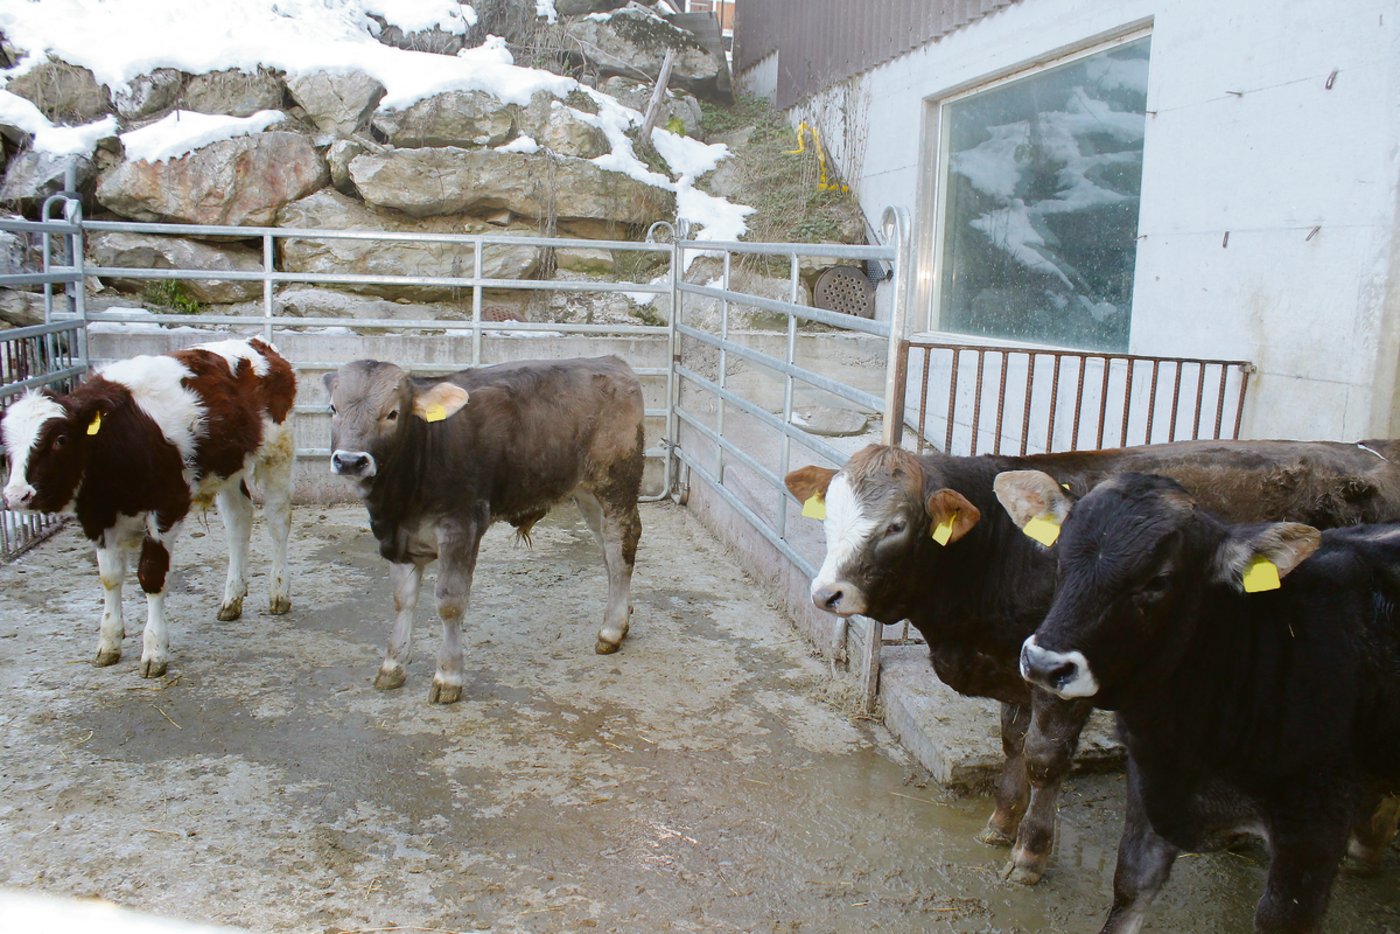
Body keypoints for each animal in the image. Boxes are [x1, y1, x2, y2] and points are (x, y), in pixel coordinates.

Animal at [0, 338, 296, 678]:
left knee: (277, 523)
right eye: (5, 445)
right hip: (228, 468)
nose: (17, 495)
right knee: (239, 522)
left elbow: (151, 576)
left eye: (60, 439)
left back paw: (279, 593)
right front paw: (109, 642)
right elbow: (110, 577)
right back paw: (232, 599)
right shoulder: (97, 517)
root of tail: (257, 344)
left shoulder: (166, 506)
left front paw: (154, 650)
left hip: (277, 454)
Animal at [324, 355, 644, 704]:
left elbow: (449, 602)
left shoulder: (461, 526)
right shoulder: (400, 540)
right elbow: (402, 599)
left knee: (621, 546)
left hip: (616, 483)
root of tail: (612, 362)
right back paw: (623, 614)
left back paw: (611, 630)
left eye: (392, 413)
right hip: (586, 493)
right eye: (333, 408)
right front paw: (392, 665)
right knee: (608, 551)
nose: (351, 461)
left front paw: (448, 677)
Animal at [784, 439, 1400, 883]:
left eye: (895, 526)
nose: (826, 594)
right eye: (829, 516)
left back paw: (1364, 843)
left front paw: (1030, 854)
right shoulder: (1018, 666)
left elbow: (1044, 758)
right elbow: (1013, 744)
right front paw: (1001, 823)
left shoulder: (1062, 677)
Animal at [997, 470, 1400, 933]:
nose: (1043, 664)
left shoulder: (1315, 824)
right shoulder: (1149, 785)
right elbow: (1130, 885)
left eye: (1158, 581)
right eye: (1060, 555)